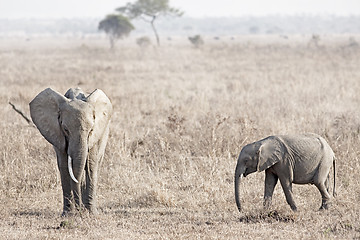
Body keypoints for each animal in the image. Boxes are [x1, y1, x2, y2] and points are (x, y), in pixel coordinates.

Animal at [30, 87, 113, 216]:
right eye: (65, 129)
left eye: (91, 130)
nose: (80, 211)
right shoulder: (58, 135)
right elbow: (64, 166)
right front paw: (68, 214)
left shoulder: (96, 135)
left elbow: (91, 165)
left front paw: (91, 213)